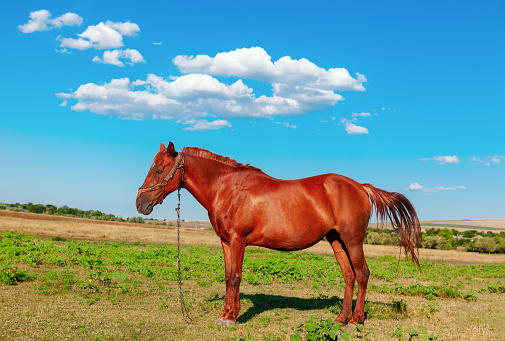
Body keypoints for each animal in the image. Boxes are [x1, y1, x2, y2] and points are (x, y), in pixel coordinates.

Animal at [135, 141, 422, 330]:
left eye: (160, 169)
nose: (140, 204)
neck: (228, 188)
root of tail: (361, 187)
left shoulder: (238, 240)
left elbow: (236, 277)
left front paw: (232, 318)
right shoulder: (225, 241)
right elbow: (228, 277)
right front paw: (225, 313)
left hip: (352, 241)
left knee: (362, 275)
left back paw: (354, 321)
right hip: (336, 240)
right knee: (349, 276)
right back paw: (340, 319)